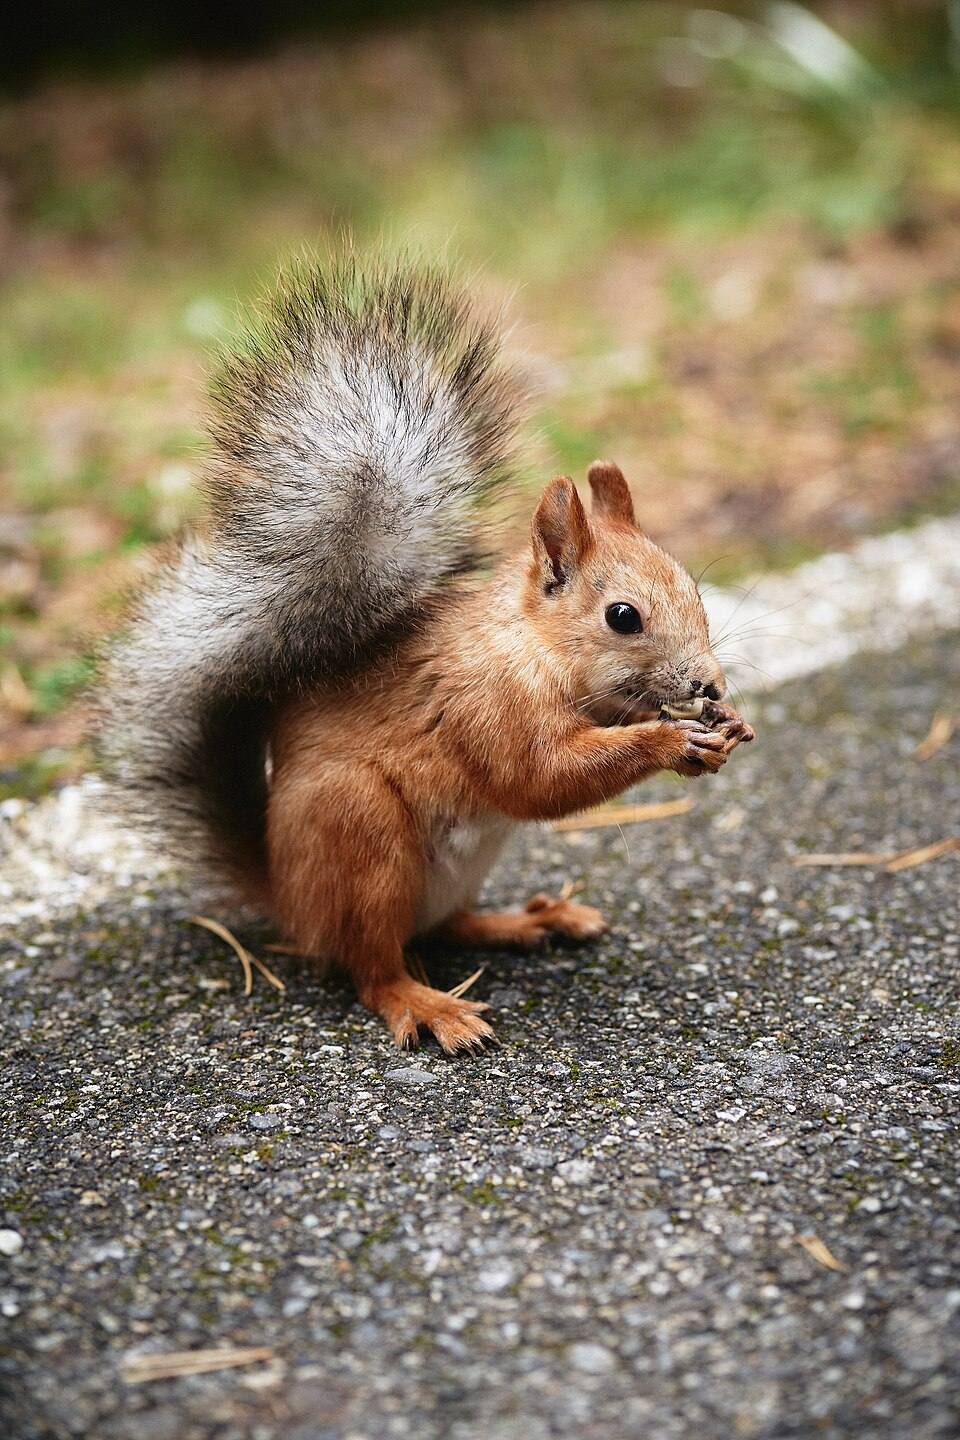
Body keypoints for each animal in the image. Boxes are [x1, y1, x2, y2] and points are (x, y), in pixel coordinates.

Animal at [101, 258, 754, 1053]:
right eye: (622, 617)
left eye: (693, 585)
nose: (706, 681)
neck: (532, 645)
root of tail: (288, 899)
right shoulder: (486, 702)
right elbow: (536, 779)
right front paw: (671, 741)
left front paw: (724, 723)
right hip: (362, 835)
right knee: (372, 968)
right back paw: (429, 1005)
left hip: (456, 869)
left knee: (449, 926)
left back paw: (533, 920)